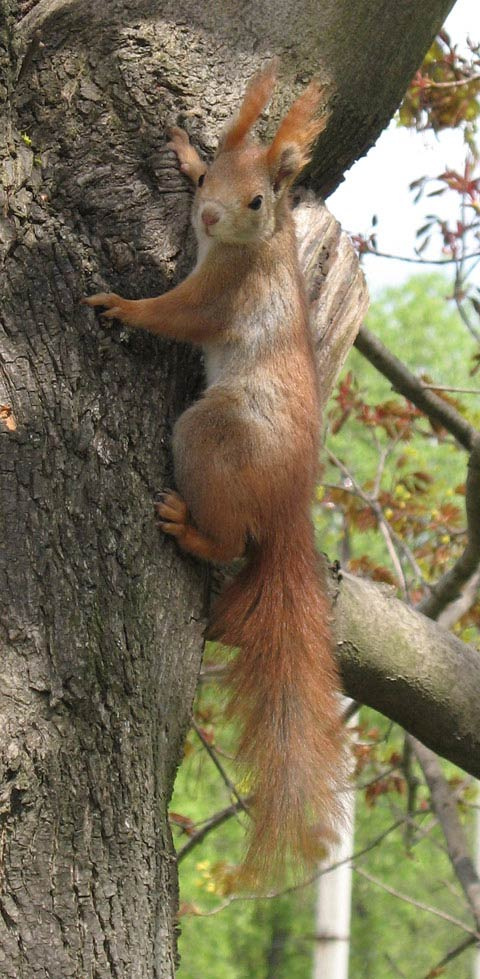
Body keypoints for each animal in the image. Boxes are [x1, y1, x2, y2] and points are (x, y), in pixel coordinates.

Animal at [84, 62, 346, 884]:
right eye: (213, 179)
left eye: (258, 199)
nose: (203, 214)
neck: (263, 245)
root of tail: (290, 504)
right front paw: (181, 150)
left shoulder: (222, 293)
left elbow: (177, 314)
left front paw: (121, 303)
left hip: (210, 435)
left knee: (228, 534)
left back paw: (190, 528)